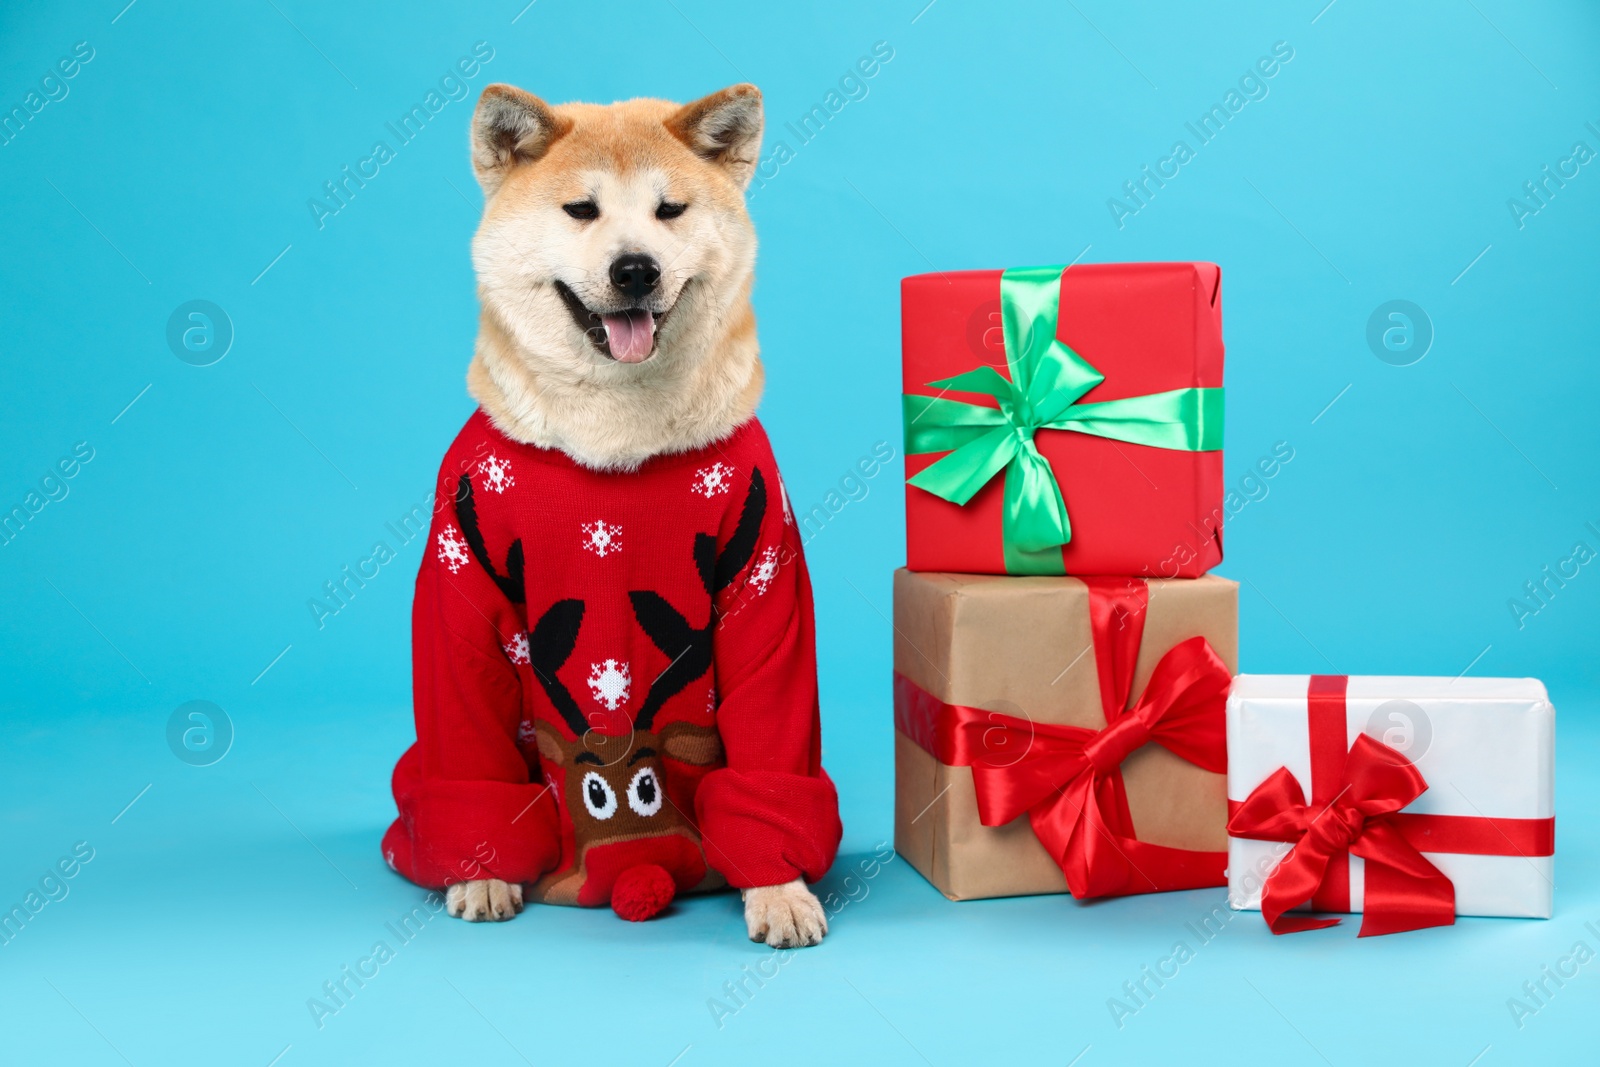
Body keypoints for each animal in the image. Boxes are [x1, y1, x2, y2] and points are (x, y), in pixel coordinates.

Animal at [379, 85, 844, 953]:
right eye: (580, 210)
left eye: (669, 210)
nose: (636, 269)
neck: (614, 443)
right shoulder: (461, 576)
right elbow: (471, 749)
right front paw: (483, 871)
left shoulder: (764, 571)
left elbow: (770, 755)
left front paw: (777, 885)